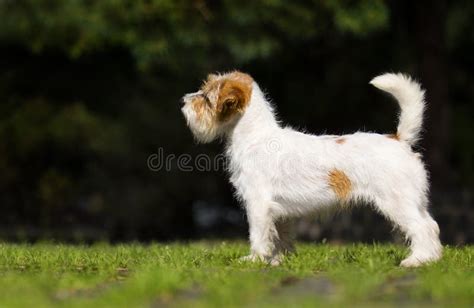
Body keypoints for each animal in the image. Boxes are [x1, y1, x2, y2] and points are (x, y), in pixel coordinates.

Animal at [181, 71, 440, 268]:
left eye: (206, 98)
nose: (183, 101)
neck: (256, 136)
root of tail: (398, 139)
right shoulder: (279, 213)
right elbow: (281, 238)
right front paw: (278, 261)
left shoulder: (258, 204)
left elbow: (258, 235)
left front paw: (254, 260)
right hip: (415, 201)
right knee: (432, 225)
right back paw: (433, 258)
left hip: (397, 203)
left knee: (422, 228)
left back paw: (417, 261)